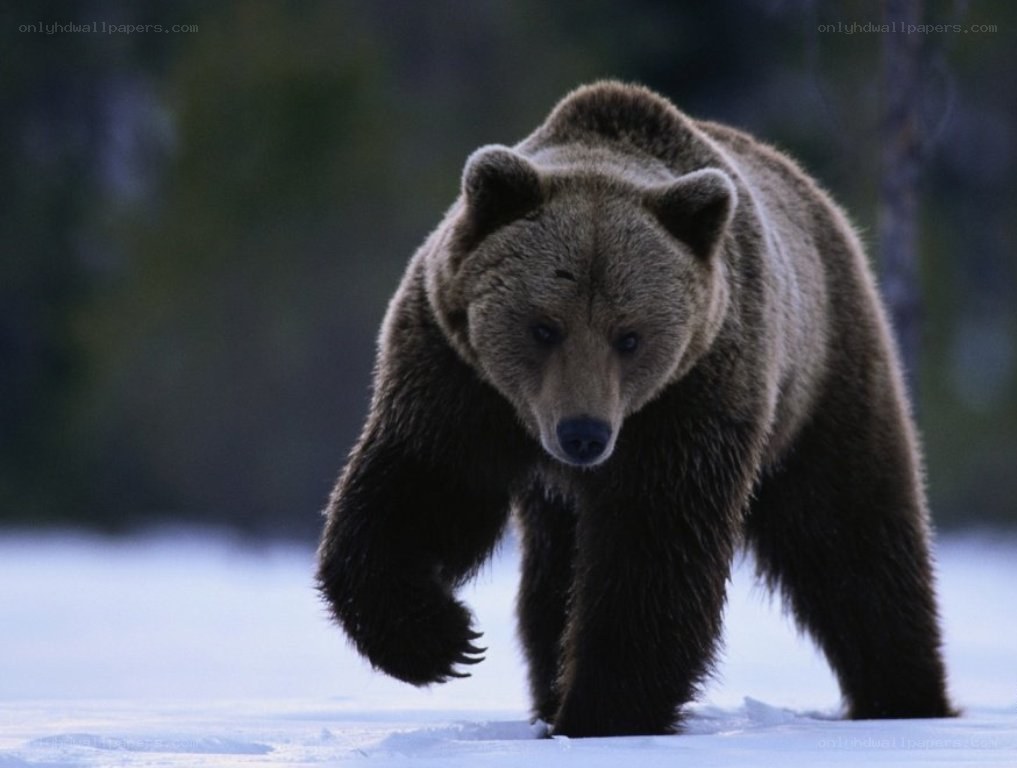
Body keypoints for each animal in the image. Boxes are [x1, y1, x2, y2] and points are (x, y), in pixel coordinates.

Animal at [316, 81, 954, 737]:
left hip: (823, 379)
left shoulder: (693, 395)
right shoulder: (456, 376)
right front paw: (441, 640)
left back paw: (903, 696)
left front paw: (602, 711)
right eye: (544, 326)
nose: (583, 434)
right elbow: (422, 489)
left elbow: (653, 549)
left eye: (629, 336)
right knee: (552, 579)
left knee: (851, 536)